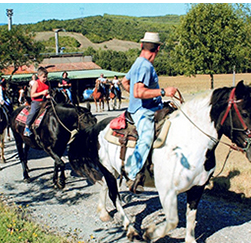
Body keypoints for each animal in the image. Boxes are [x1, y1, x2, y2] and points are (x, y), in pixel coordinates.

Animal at [67, 80, 251, 242]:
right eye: (245, 113)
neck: (189, 141)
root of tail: (96, 127)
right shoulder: (166, 190)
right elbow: (172, 221)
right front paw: (150, 233)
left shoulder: (197, 187)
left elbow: (191, 217)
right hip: (108, 169)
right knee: (114, 195)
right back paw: (131, 230)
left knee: (105, 186)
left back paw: (104, 213)